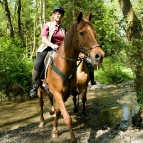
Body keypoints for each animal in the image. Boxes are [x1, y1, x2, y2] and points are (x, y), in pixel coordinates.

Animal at [37, 11, 104, 142]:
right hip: (39, 90)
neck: (63, 65)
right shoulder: (58, 93)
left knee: (50, 100)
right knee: (41, 104)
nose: (99, 55)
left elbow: (59, 112)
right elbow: (67, 118)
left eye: (94, 33)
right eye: (82, 33)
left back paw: (51, 112)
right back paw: (42, 122)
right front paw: (72, 139)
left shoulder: (64, 94)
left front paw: (54, 129)